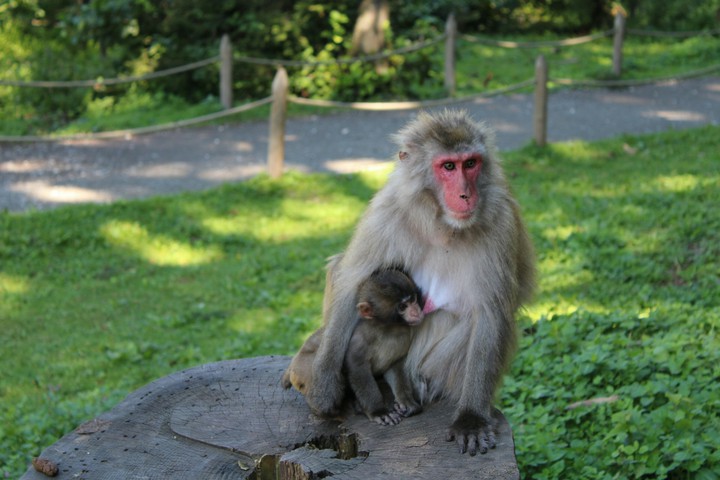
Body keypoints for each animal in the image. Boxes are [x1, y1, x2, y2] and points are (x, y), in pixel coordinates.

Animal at [282, 264, 425, 425]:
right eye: (403, 306)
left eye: (413, 299)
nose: (416, 311)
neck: (387, 329)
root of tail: (292, 367)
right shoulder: (360, 339)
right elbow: (357, 368)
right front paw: (378, 411)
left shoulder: (404, 338)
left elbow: (395, 366)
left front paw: (405, 401)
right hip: (304, 370)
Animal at [304, 109, 536, 456]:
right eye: (448, 167)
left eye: (471, 163)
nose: (467, 194)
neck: (442, 222)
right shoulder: (386, 211)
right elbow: (352, 281)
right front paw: (325, 387)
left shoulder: (500, 222)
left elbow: (491, 313)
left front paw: (471, 419)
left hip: (429, 372)